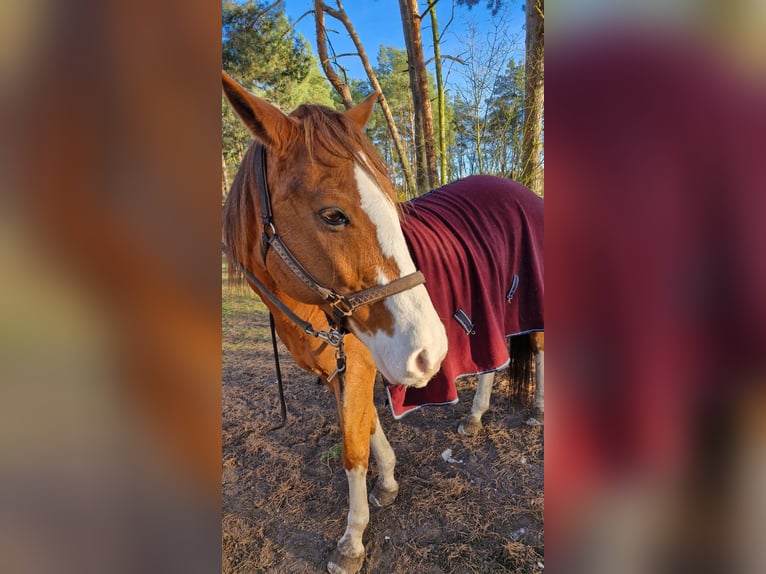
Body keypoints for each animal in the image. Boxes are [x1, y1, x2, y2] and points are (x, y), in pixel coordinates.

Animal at [222, 72, 544, 574]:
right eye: (333, 214)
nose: (432, 352)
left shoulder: (357, 367)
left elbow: (353, 448)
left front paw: (352, 539)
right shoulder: (343, 370)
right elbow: (369, 426)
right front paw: (388, 481)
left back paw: (539, 409)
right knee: (494, 362)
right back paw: (474, 417)